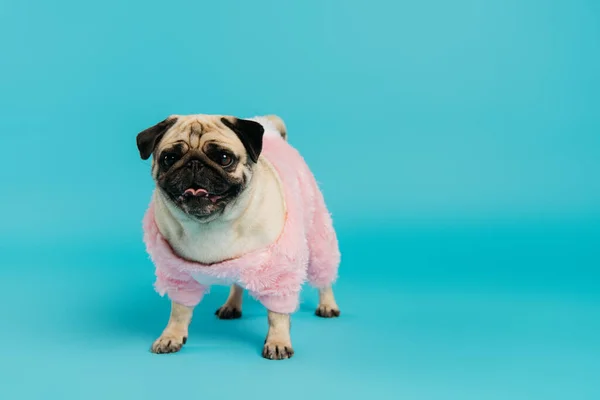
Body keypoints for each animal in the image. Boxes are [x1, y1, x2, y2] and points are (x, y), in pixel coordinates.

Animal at [137, 113, 342, 360]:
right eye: (170, 158)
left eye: (224, 158)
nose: (194, 163)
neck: (210, 224)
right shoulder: (179, 274)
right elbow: (179, 311)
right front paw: (171, 336)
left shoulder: (279, 271)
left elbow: (277, 314)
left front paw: (278, 341)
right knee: (237, 284)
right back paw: (232, 305)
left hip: (317, 236)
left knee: (324, 275)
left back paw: (327, 305)